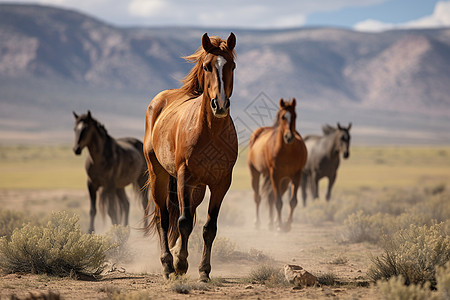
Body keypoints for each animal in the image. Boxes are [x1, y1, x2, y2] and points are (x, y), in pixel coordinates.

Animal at [144, 32, 237, 282]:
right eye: (207, 66)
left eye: (232, 66)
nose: (220, 105)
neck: (211, 132)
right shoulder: (184, 176)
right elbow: (183, 222)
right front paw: (180, 264)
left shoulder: (221, 183)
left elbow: (209, 228)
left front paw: (204, 271)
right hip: (159, 175)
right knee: (164, 217)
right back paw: (168, 264)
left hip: (198, 187)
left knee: (189, 213)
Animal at [248, 98, 308, 232]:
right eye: (282, 117)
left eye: (294, 116)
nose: (289, 137)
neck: (287, 151)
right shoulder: (275, 174)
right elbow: (278, 202)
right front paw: (280, 227)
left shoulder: (296, 176)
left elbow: (293, 201)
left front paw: (286, 224)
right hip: (255, 173)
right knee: (258, 197)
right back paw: (257, 223)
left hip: (284, 180)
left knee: (271, 197)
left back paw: (272, 223)